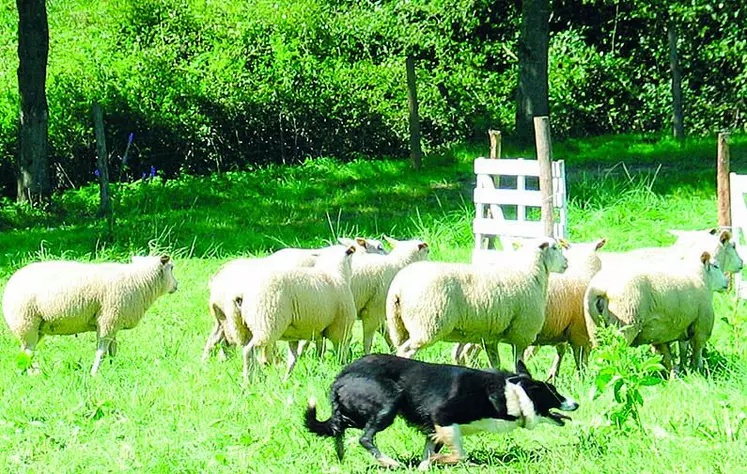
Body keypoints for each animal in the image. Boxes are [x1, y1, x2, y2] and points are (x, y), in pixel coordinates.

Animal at [1, 256, 178, 374]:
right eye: (172, 268)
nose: (177, 285)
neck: (140, 281)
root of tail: (9, 285)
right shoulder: (108, 320)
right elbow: (101, 351)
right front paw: (95, 373)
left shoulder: (114, 323)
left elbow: (113, 349)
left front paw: (113, 367)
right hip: (26, 324)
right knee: (27, 352)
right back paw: (32, 374)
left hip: (36, 329)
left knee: (24, 353)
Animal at [237, 246, 360, 380]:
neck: (335, 273)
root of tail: (244, 294)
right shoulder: (340, 327)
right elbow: (340, 349)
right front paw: (341, 365)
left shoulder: (303, 334)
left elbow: (295, 358)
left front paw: (286, 379)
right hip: (267, 323)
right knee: (249, 351)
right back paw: (249, 380)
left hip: (252, 326)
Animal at [388, 239, 568, 372]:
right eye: (554, 248)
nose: (566, 262)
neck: (530, 272)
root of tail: (398, 287)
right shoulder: (521, 334)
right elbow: (518, 364)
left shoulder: (490, 339)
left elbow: (495, 363)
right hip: (428, 324)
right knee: (406, 351)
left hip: (398, 327)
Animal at [584, 250, 732, 372]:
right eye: (716, 266)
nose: (727, 283)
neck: (699, 277)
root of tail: (600, 288)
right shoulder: (702, 324)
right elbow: (697, 351)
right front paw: (697, 370)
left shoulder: (665, 331)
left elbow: (671, 355)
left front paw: (679, 373)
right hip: (625, 324)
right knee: (615, 353)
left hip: (595, 330)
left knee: (601, 355)